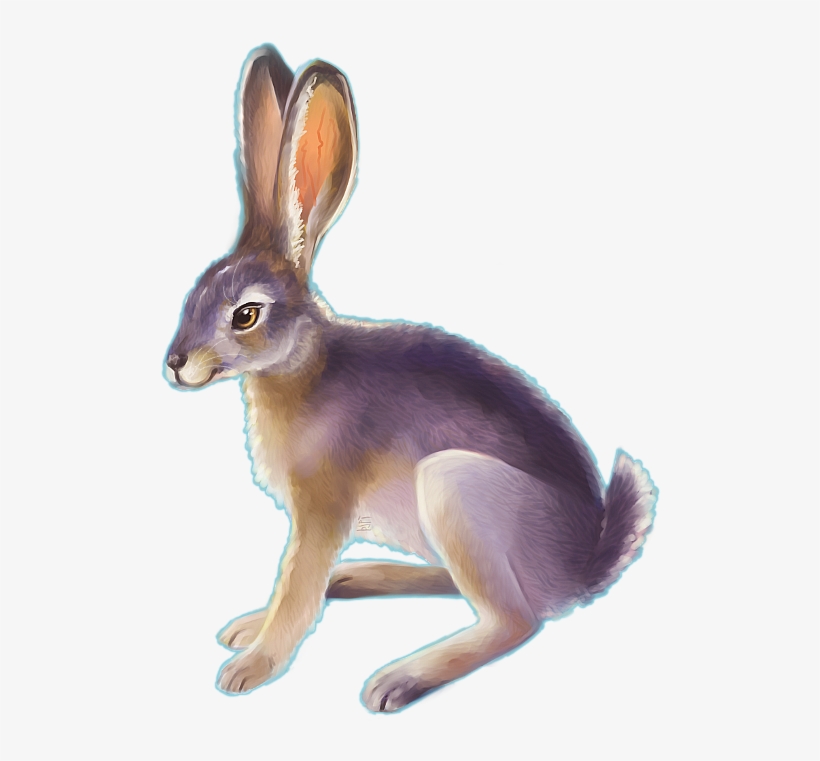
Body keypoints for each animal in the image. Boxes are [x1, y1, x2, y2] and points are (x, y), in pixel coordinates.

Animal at [165, 43, 657, 712]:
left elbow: (296, 590)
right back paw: (358, 580)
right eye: (194, 292)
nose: (174, 364)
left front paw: (250, 667)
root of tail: (585, 569)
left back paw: (399, 677)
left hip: (455, 488)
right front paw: (245, 629)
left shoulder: (321, 513)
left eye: (245, 315)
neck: (300, 364)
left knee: (515, 621)